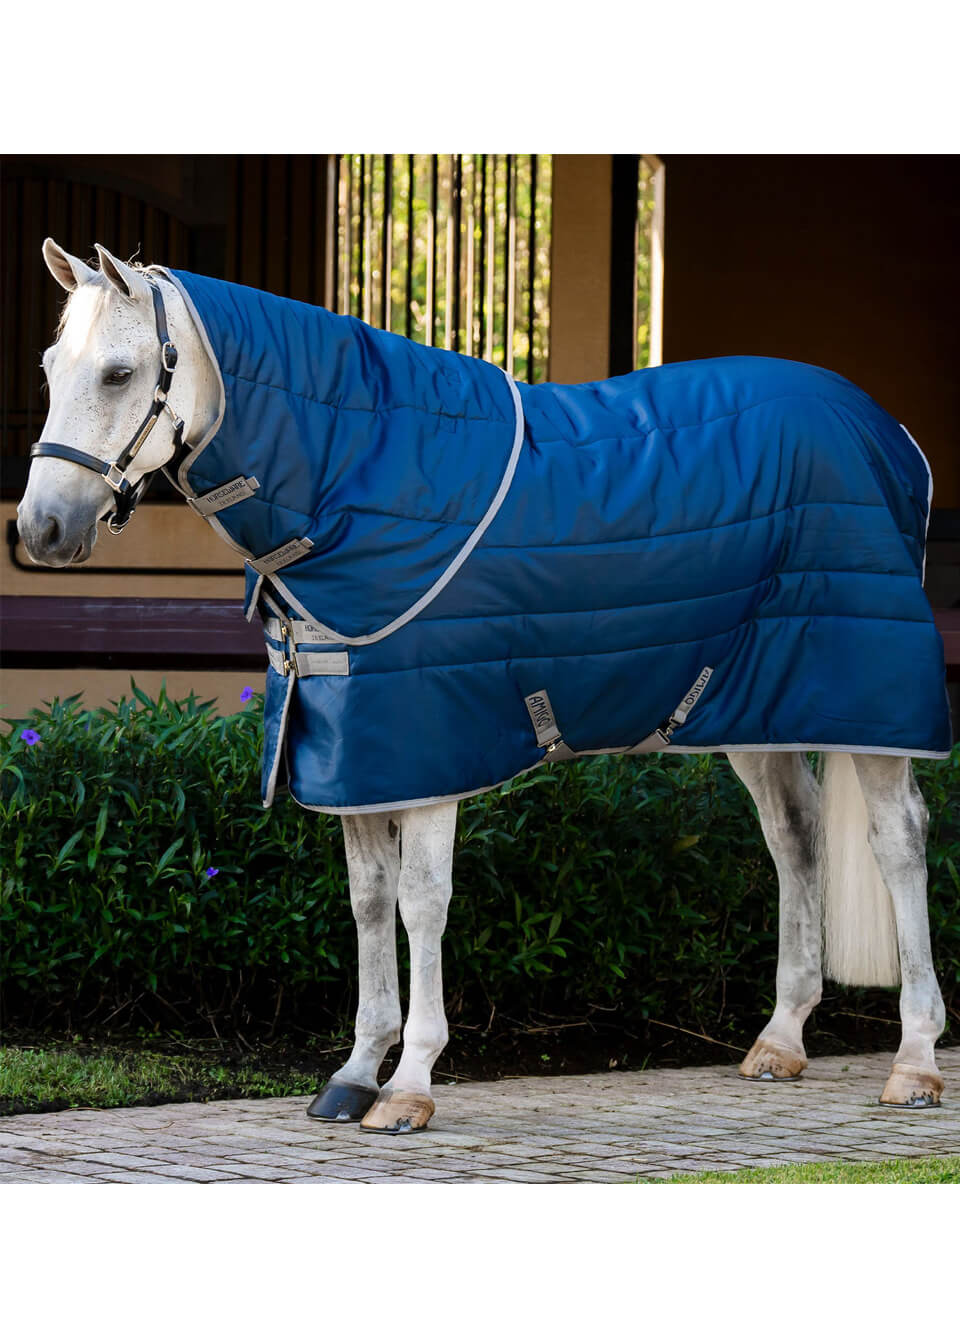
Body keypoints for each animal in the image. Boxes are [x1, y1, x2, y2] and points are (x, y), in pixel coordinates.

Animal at [17, 238, 948, 1133]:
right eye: (52, 367)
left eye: (119, 373)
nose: (41, 528)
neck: (354, 476)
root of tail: (891, 432)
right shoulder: (356, 751)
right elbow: (368, 902)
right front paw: (354, 1074)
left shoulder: (428, 749)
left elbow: (422, 904)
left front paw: (409, 1087)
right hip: (753, 705)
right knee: (795, 837)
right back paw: (780, 1040)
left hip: (868, 701)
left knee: (899, 842)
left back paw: (914, 1064)